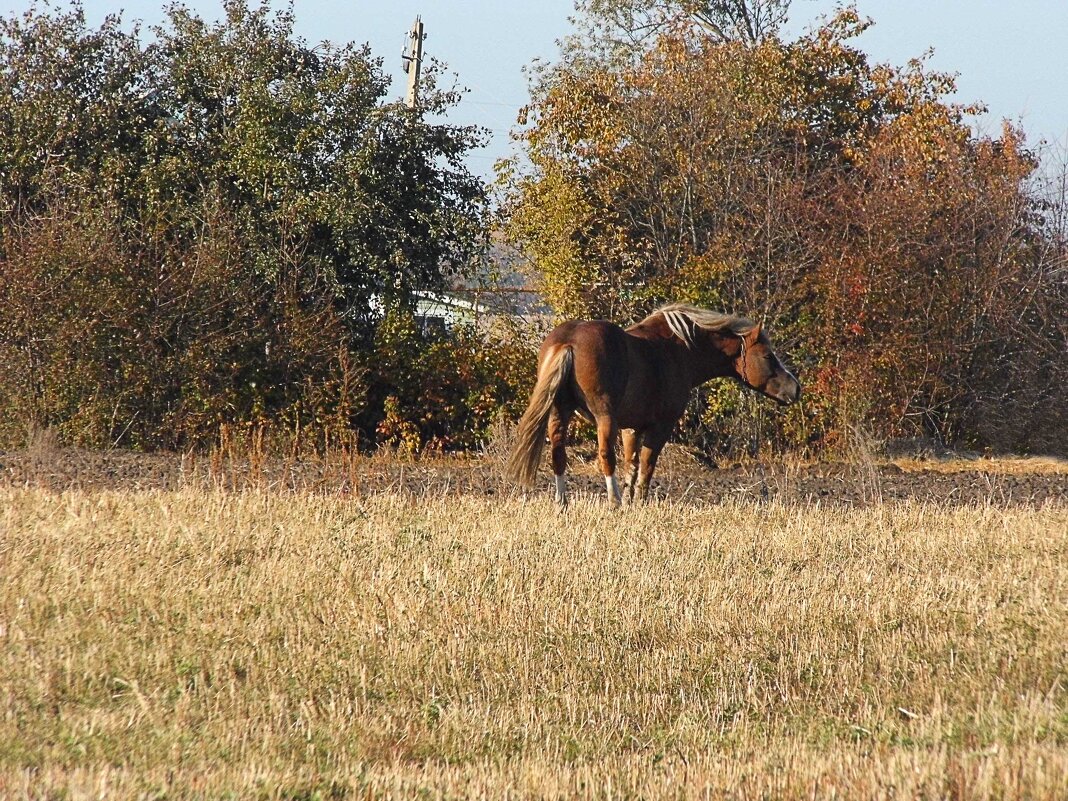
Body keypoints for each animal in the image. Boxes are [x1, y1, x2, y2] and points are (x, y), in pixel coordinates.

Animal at [508, 303, 803, 504]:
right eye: (767, 356)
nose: (795, 388)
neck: (677, 350)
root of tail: (568, 341)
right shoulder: (660, 426)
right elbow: (647, 466)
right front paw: (638, 502)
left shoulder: (631, 428)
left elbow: (632, 465)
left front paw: (631, 500)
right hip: (603, 415)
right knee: (605, 455)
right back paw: (613, 501)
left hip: (561, 411)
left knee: (558, 453)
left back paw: (563, 503)